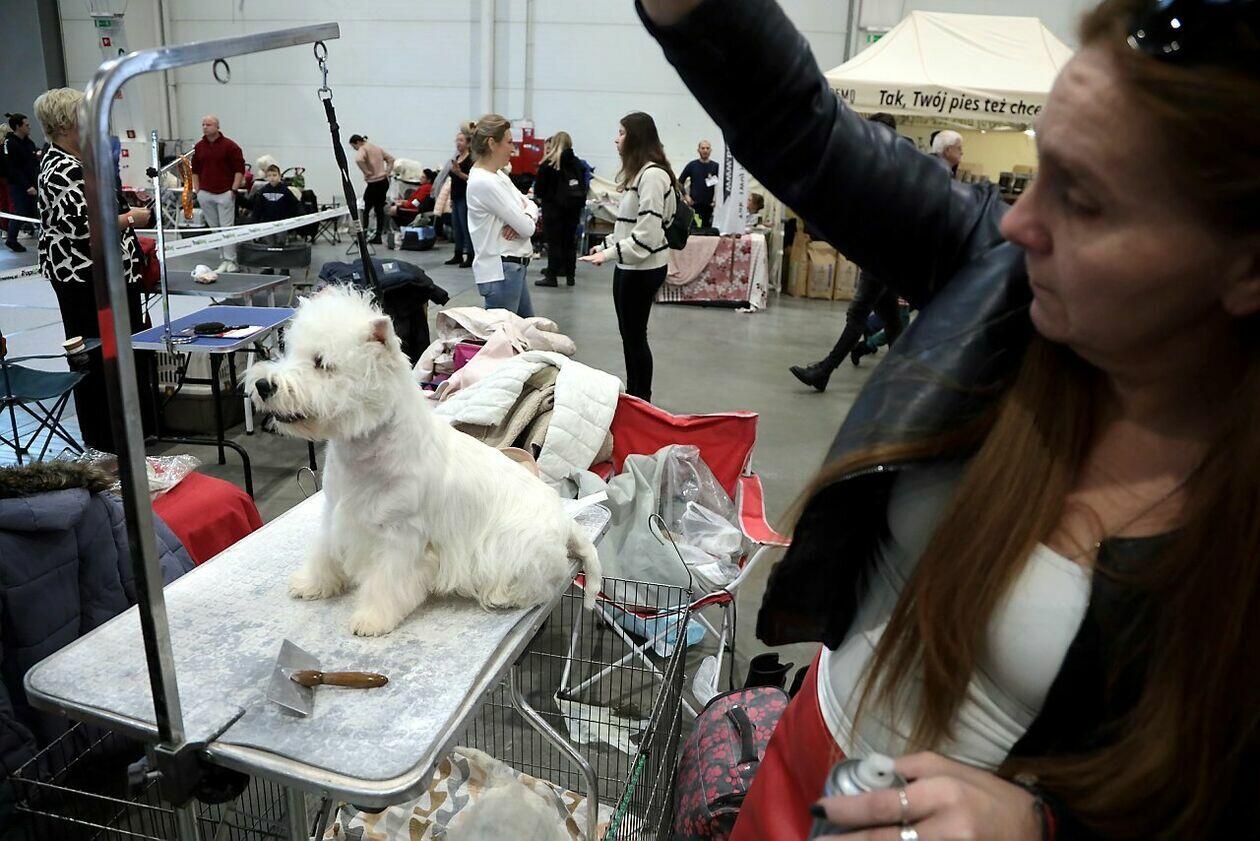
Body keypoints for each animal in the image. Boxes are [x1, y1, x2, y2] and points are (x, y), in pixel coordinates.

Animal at [245, 286, 601, 636]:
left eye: (321, 363)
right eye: (289, 352)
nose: (263, 385)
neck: (363, 451)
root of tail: (566, 522)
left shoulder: (400, 535)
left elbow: (387, 581)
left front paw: (372, 619)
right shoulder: (336, 513)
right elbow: (325, 553)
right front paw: (312, 584)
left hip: (516, 546)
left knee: (534, 582)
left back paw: (501, 595)